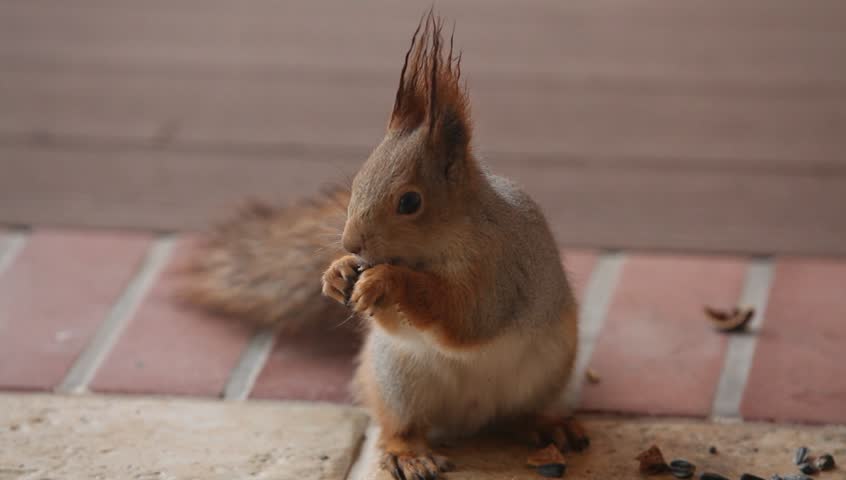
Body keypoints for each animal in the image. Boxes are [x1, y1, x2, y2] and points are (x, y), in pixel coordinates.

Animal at [181, 11, 588, 480]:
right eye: (357, 181)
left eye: (410, 202)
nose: (350, 242)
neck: (432, 248)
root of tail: (471, 416)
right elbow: (397, 322)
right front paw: (337, 272)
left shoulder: (499, 267)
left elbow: (468, 316)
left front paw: (388, 280)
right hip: (397, 379)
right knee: (401, 426)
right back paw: (407, 455)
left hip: (544, 373)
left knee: (524, 412)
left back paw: (550, 425)